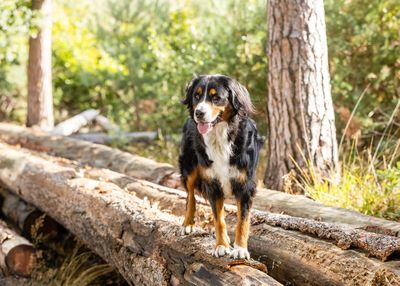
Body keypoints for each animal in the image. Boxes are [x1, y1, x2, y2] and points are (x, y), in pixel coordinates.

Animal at [180, 73, 264, 260]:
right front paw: (221, 245)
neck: (220, 136)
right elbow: (219, 219)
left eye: (216, 97)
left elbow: (242, 221)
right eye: (196, 96)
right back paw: (187, 223)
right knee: (190, 195)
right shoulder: (213, 183)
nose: (199, 112)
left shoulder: (245, 185)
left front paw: (240, 248)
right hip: (189, 167)